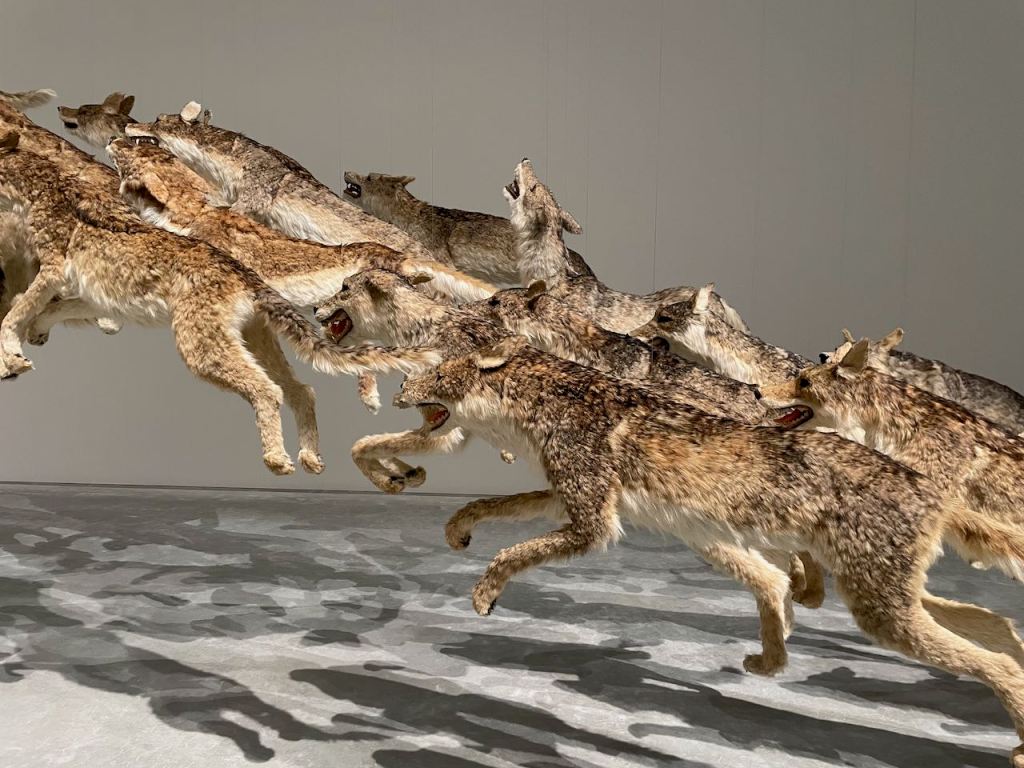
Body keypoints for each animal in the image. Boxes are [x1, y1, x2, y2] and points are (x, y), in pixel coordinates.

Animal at [0, 132, 437, 475]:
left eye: (138, 148)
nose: (114, 138)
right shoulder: (99, 296)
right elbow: (46, 309)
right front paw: (29, 339)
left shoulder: (58, 271)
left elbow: (16, 313)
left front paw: (14, 354)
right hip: (253, 338)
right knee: (303, 389)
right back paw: (310, 457)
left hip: (203, 349)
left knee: (271, 390)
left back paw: (279, 459)